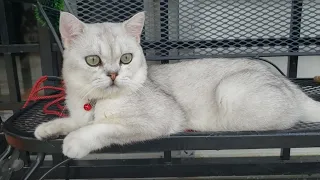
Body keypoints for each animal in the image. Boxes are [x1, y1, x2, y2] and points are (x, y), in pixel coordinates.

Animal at [34, 11, 320, 159]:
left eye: (126, 58)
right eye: (93, 60)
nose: (114, 74)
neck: (95, 101)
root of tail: (291, 87)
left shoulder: (154, 120)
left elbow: (101, 127)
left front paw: (74, 141)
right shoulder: (81, 113)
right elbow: (74, 121)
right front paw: (47, 128)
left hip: (230, 93)